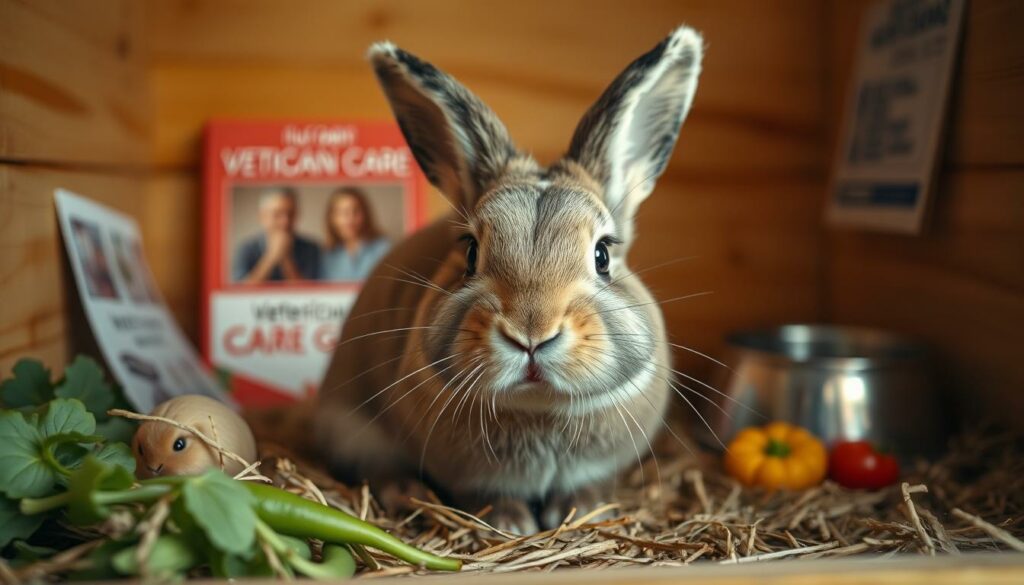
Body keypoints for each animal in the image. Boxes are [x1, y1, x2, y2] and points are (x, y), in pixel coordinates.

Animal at [317, 25, 704, 532]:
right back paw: (408, 494)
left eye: (603, 254)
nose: (531, 333)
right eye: (470, 252)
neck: (537, 410)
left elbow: (586, 487)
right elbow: (488, 493)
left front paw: (581, 510)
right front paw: (511, 523)